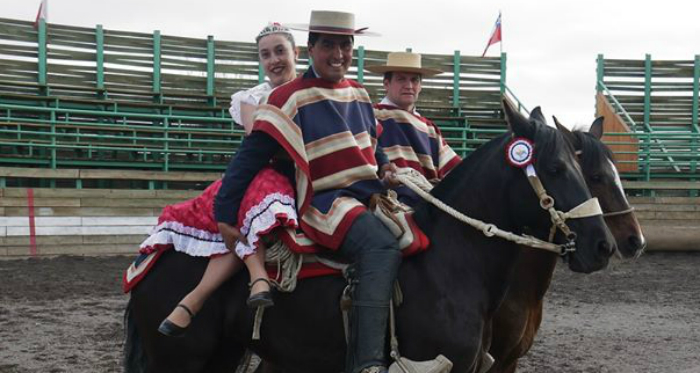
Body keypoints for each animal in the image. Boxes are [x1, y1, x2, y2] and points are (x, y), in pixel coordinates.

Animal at [123, 101, 616, 372]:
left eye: (584, 169)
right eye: (556, 168)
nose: (605, 245)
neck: (452, 264)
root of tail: (151, 258)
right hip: (179, 361)